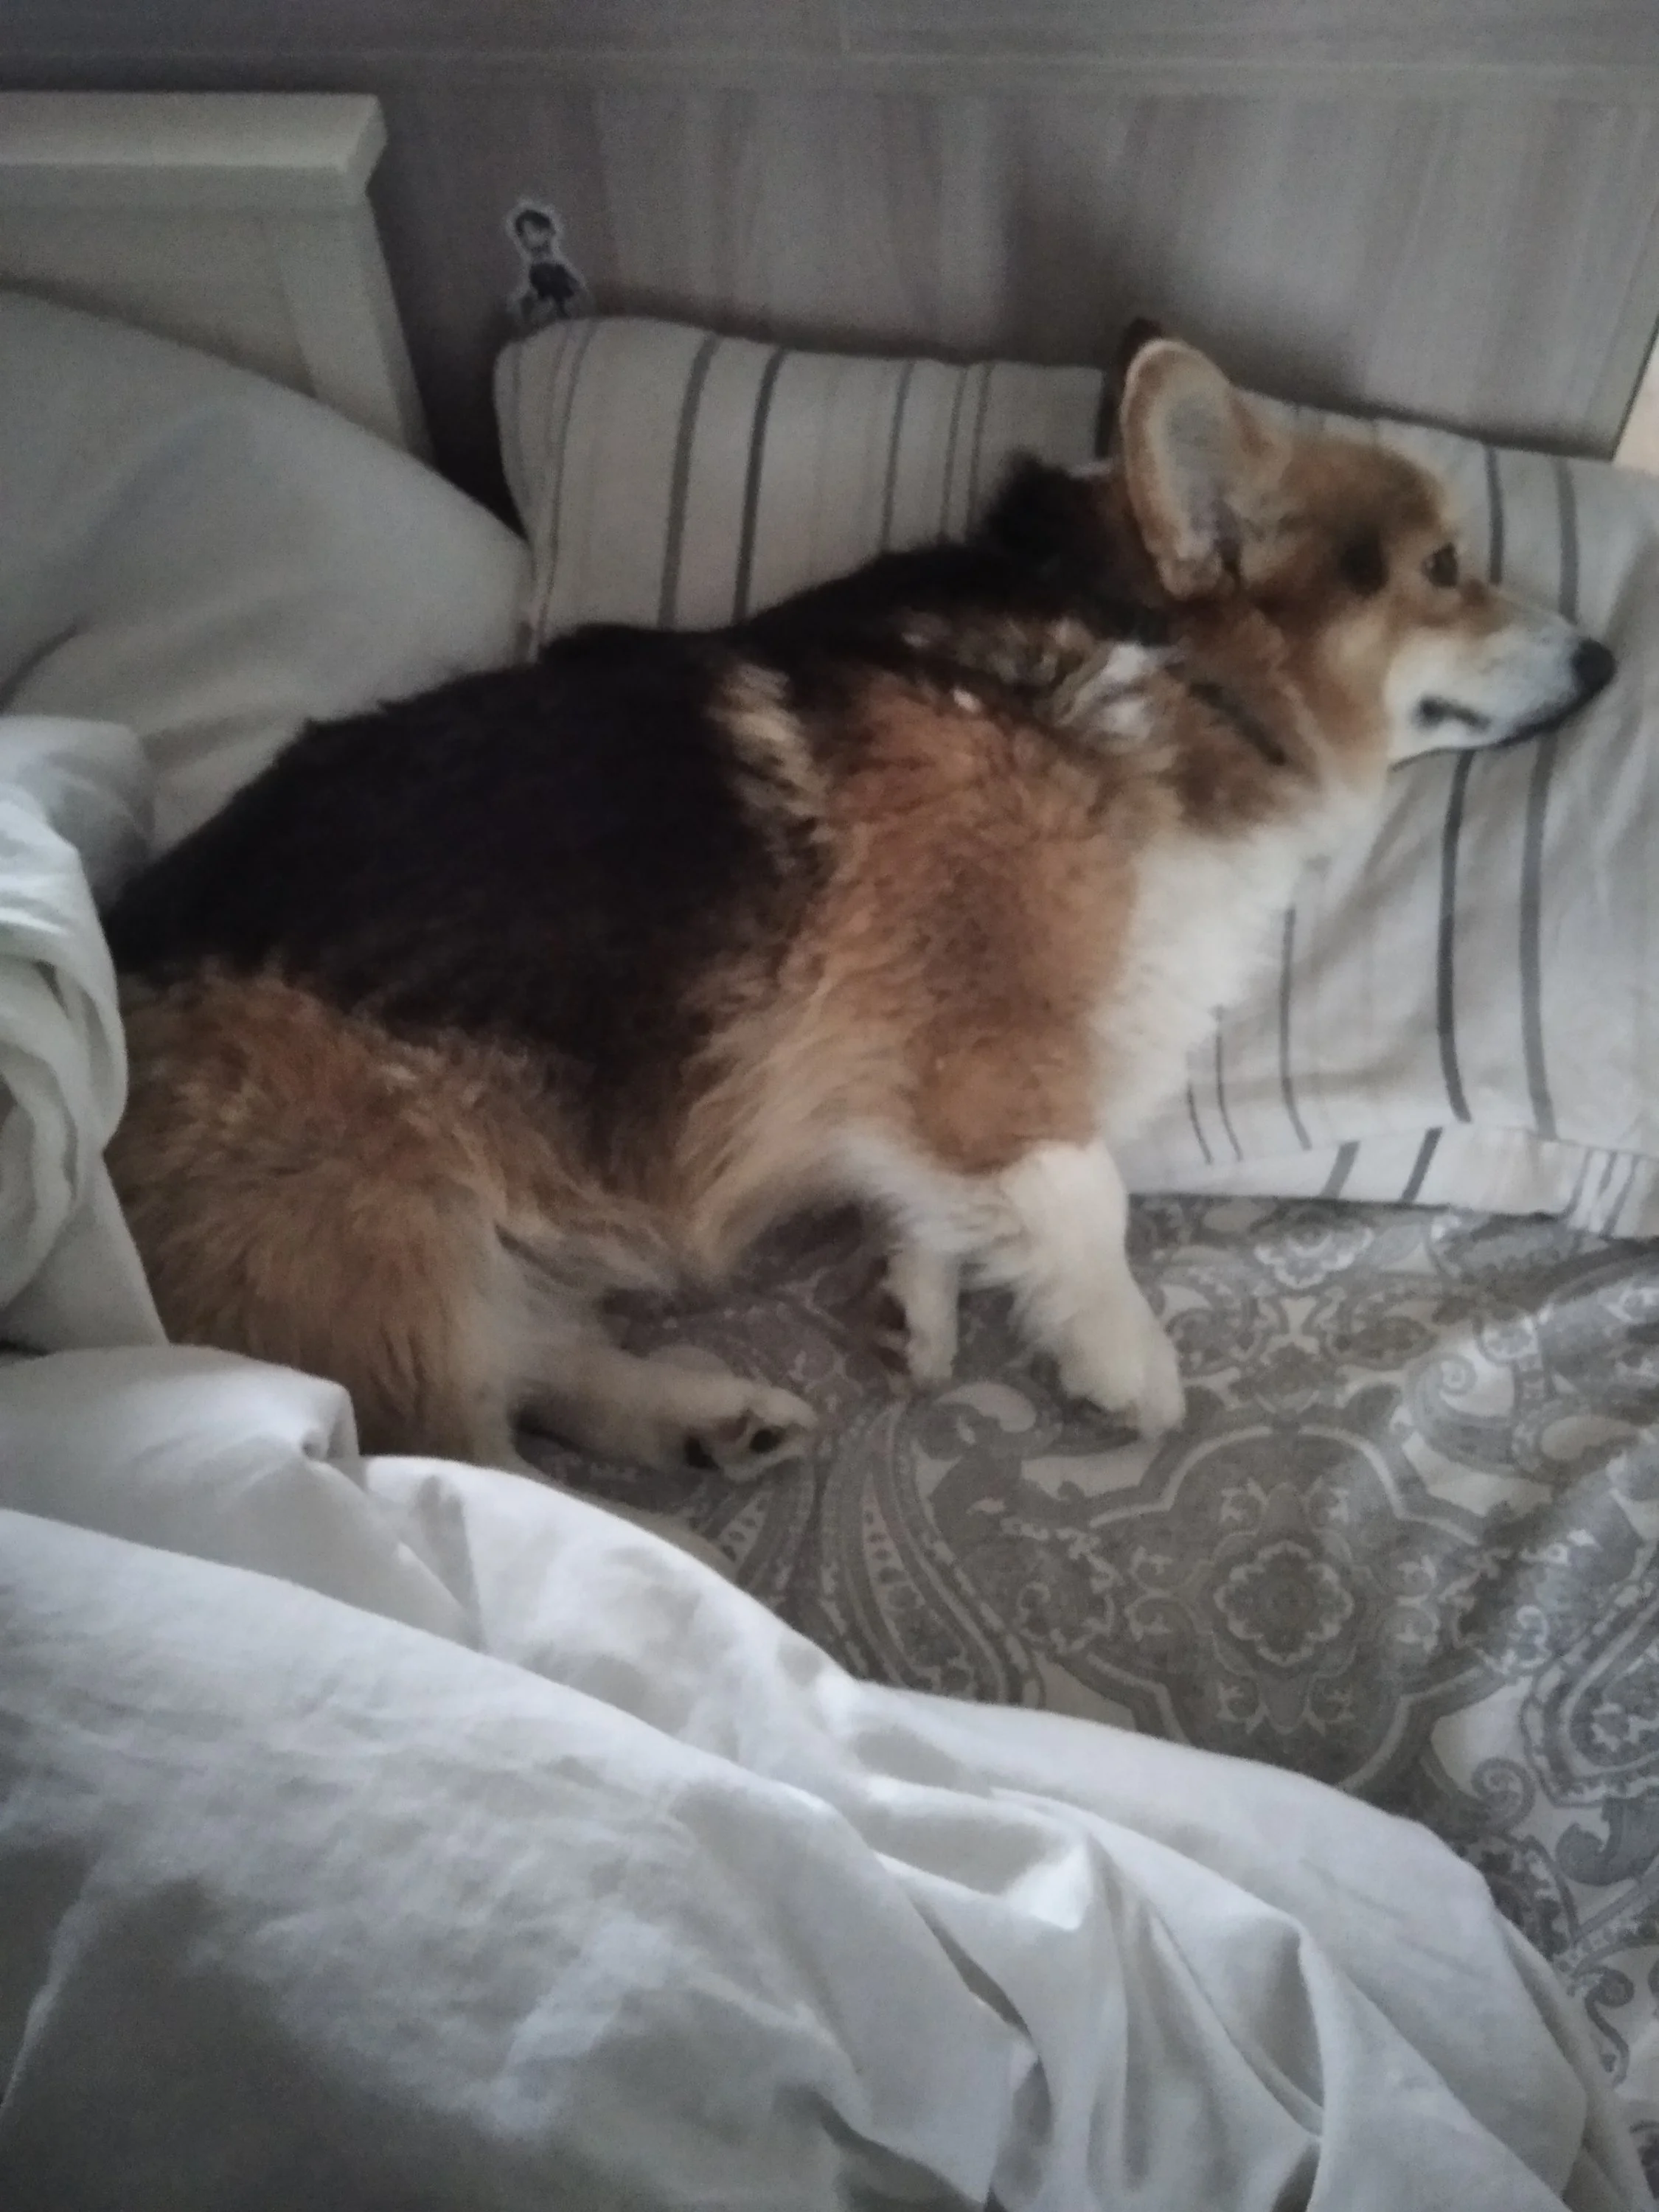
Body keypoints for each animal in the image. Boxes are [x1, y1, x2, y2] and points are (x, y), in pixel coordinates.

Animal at [104, 335, 1614, 1542]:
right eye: (1443, 568)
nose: (1604, 661)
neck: (1152, 655)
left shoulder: (905, 1079)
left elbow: (935, 1201)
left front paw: (916, 1302)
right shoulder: (982, 1044)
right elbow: (1085, 1197)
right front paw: (1125, 1359)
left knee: (529, 1368)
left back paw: (710, 1422)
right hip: (379, 1228)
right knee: (445, 1462)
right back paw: (676, 1565)